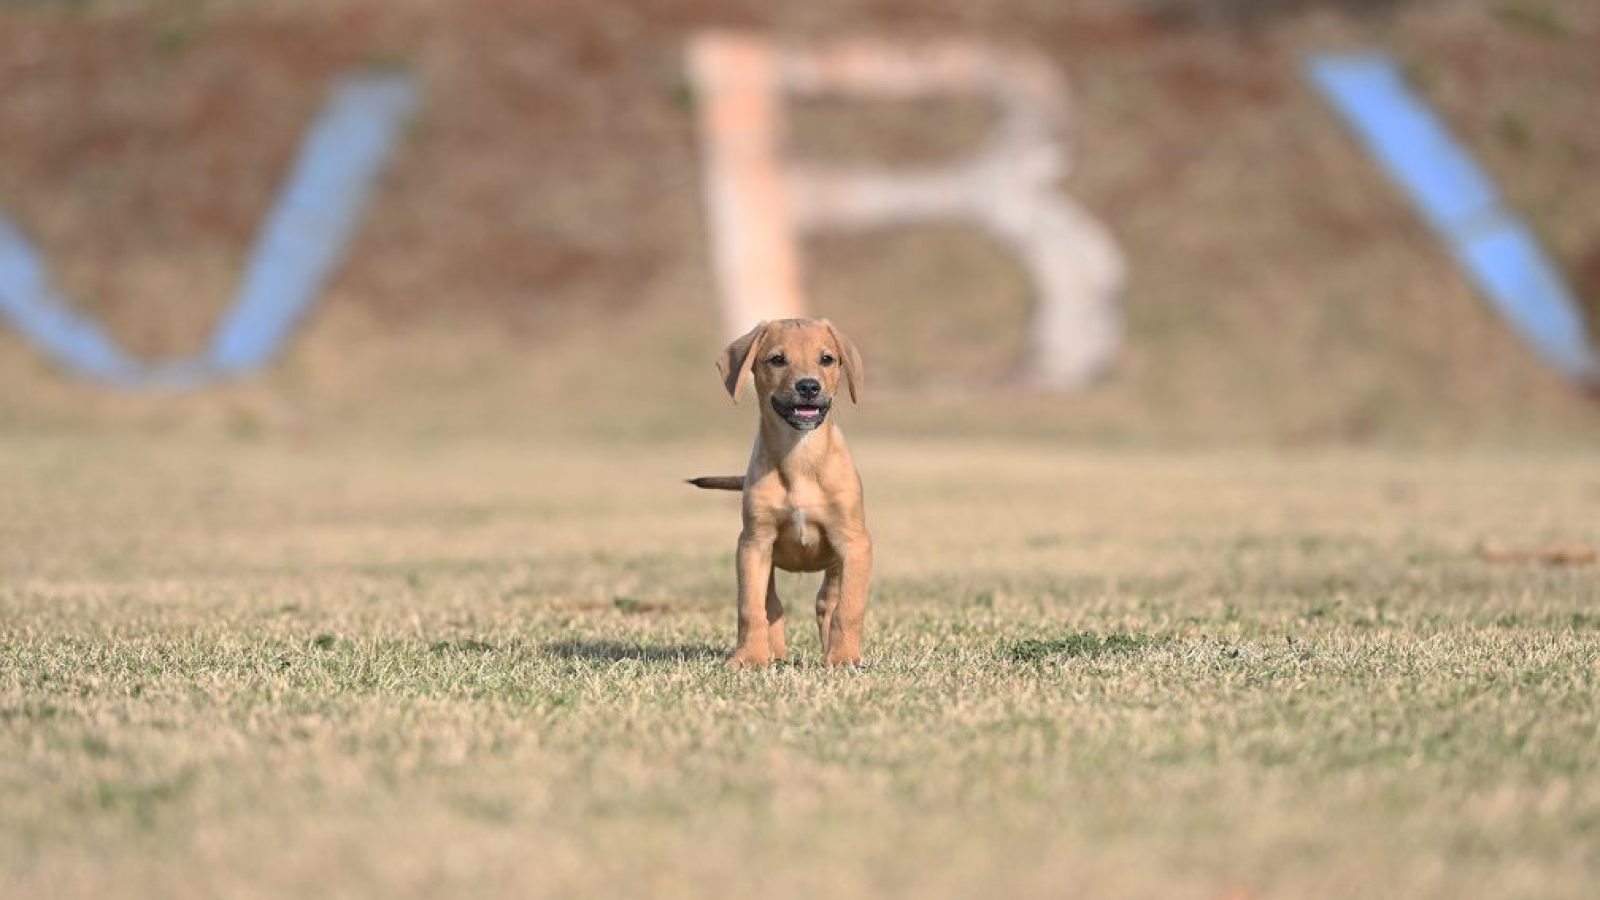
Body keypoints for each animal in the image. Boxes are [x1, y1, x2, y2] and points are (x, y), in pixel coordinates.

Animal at [691, 317, 876, 666]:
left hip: (836, 565)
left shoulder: (853, 544)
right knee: (771, 605)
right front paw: (750, 658)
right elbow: (750, 608)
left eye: (826, 359)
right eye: (777, 360)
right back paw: (773, 653)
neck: (800, 457)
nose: (808, 387)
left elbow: (849, 608)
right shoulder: (754, 544)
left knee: (827, 603)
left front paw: (844, 658)